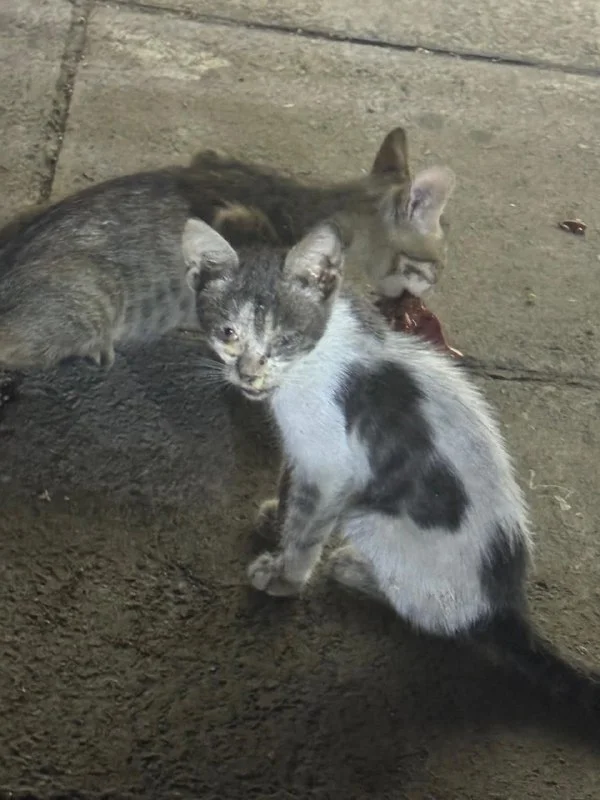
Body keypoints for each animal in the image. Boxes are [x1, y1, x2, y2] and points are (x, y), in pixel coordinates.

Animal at [191, 218, 600, 718]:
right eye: (228, 333)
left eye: (284, 339)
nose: (248, 375)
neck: (314, 358)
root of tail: (505, 606)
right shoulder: (308, 449)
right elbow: (292, 487)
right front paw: (276, 519)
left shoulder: (333, 468)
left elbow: (308, 526)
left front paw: (285, 575)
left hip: (371, 518)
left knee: (436, 617)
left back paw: (356, 571)